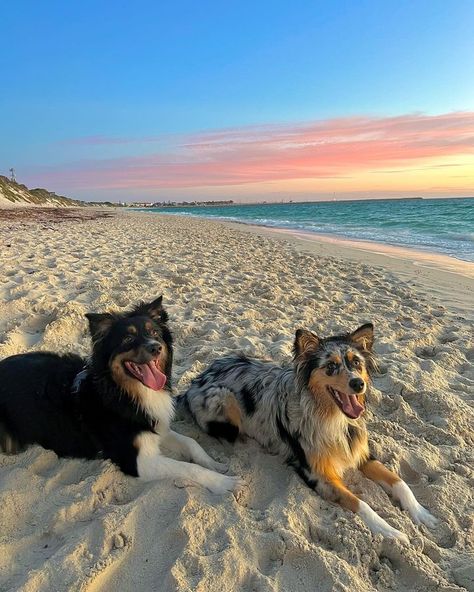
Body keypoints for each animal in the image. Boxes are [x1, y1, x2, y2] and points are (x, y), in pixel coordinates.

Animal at [0, 296, 241, 494]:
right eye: (127, 339)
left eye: (154, 333)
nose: (156, 347)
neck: (124, 393)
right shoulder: (138, 461)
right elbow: (188, 468)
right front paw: (225, 483)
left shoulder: (156, 426)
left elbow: (191, 443)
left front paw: (216, 464)